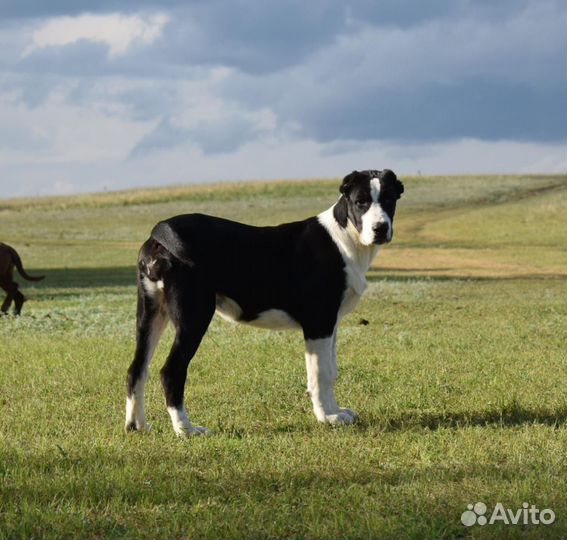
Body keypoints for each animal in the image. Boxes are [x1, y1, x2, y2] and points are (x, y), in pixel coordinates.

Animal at [126, 171, 406, 436]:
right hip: (194, 316)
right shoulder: (319, 323)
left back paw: (137, 425)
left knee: (137, 369)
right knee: (171, 371)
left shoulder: (330, 325)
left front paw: (335, 411)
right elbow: (321, 374)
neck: (345, 237)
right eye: (361, 202)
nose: (380, 228)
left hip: (150, 314)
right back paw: (186, 429)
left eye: (390, 199)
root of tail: (159, 235)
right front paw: (327, 417)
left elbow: (330, 369)